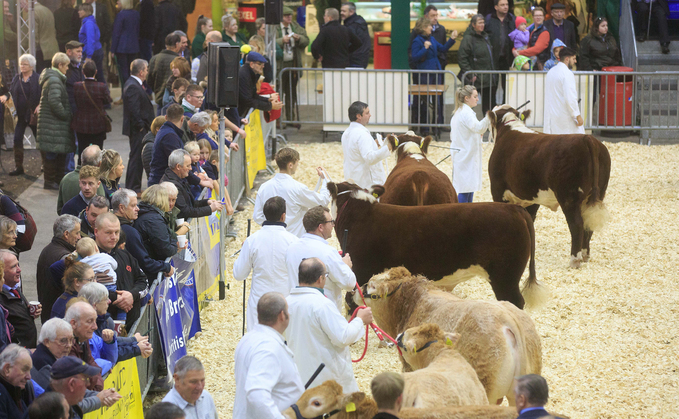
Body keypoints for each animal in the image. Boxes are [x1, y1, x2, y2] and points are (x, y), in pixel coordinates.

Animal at [328, 180, 548, 308]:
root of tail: (514, 209)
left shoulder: (360, 269)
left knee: (515, 301)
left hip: (505, 275)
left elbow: (352, 300)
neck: (360, 216)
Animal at [486, 105, 612, 270]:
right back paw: (585, 255)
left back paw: (575, 260)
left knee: (576, 224)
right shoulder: (532, 197)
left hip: (569, 196)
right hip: (597, 194)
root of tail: (587, 139)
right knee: (588, 224)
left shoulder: (498, 190)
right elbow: (530, 220)